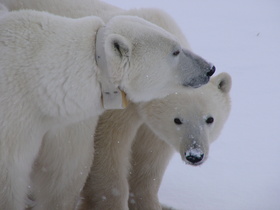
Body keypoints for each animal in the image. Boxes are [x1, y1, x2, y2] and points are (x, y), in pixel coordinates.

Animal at [0, 3, 213, 210]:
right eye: (175, 51)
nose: (210, 68)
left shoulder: (67, 124)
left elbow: (63, 172)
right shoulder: (14, 122)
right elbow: (10, 177)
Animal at [80, 72, 232, 210]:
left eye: (210, 119)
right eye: (177, 120)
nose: (194, 155)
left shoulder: (152, 130)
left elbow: (148, 162)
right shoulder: (114, 109)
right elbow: (107, 149)